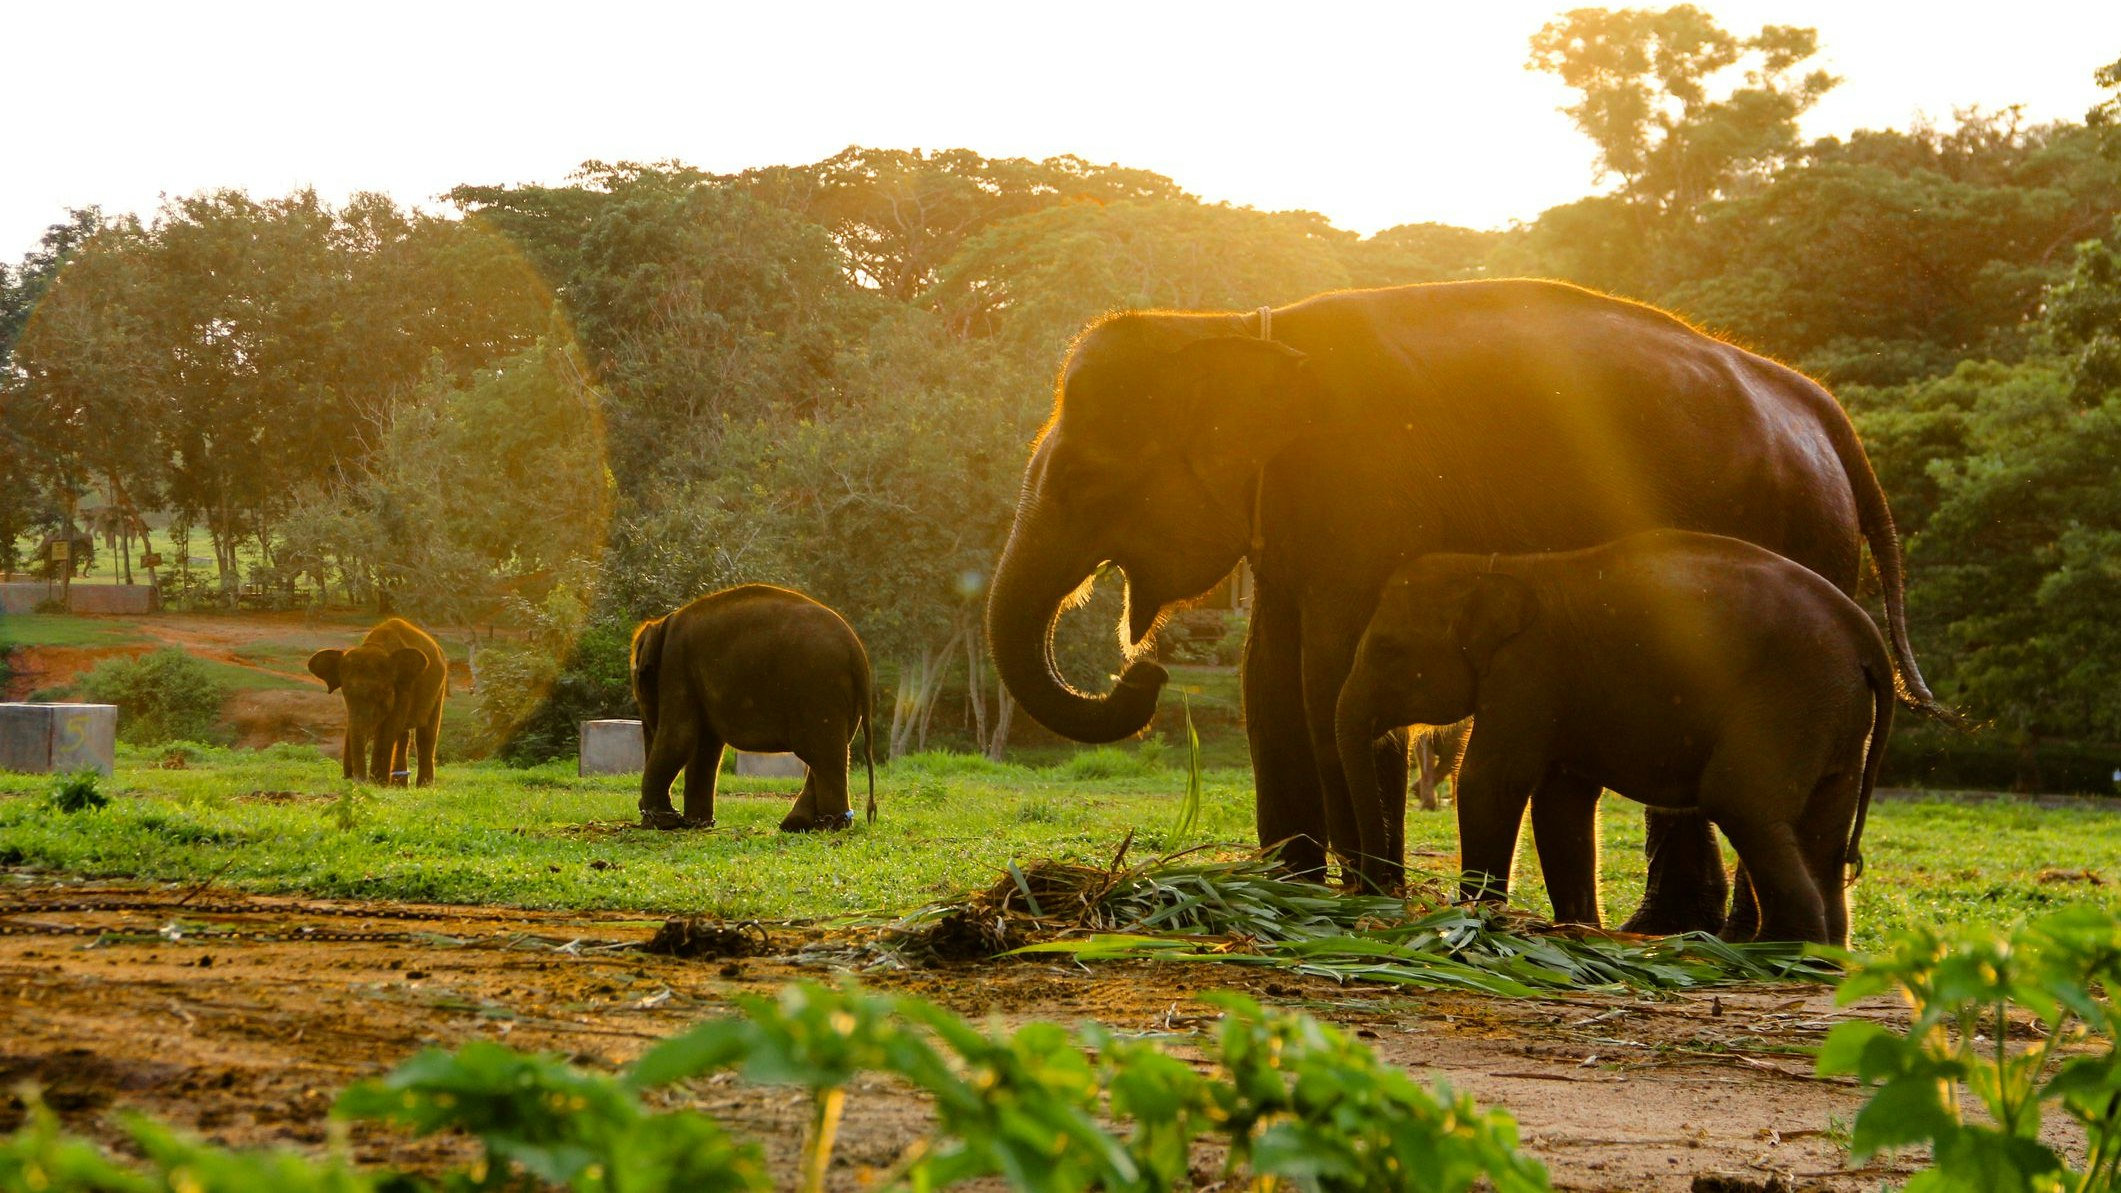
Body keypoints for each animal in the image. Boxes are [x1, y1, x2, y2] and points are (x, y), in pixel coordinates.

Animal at [308, 618, 446, 787]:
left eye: (382, 692)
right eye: (345, 693)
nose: (352, 778)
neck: (376, 646)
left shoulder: (403, 688)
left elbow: (388, 729)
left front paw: (377, 784)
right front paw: (378, 784)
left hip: (439, 687)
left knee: (425, 734)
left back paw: (423, 786)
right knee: (403, 734)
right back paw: (399, 786)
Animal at [630, 584, 877, 833]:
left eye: (640, 683)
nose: (641, 813)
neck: (663, 623)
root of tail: (858, 652)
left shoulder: (676, 667)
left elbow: (680, 737)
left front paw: (665, 823)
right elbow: (704, 746)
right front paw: (696, 824)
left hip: (818, 688)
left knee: (822, 754)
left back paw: (830, 826)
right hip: (840, 698)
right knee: (829, 752)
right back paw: (798, 824)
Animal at [1334, 531, 1893, 945]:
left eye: (1388, 649)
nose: (1378, 894)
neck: (1498, 566)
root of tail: (1867, 637)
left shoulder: (1527, 671)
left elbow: (1490, 782)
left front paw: (1474, 919)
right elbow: (1561, 802)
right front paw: (1577, 931)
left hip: (1788, 700)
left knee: (1740, 801)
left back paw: (1777, 951)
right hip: (1835, 715)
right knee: (1822, 829)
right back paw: (1821, 954)